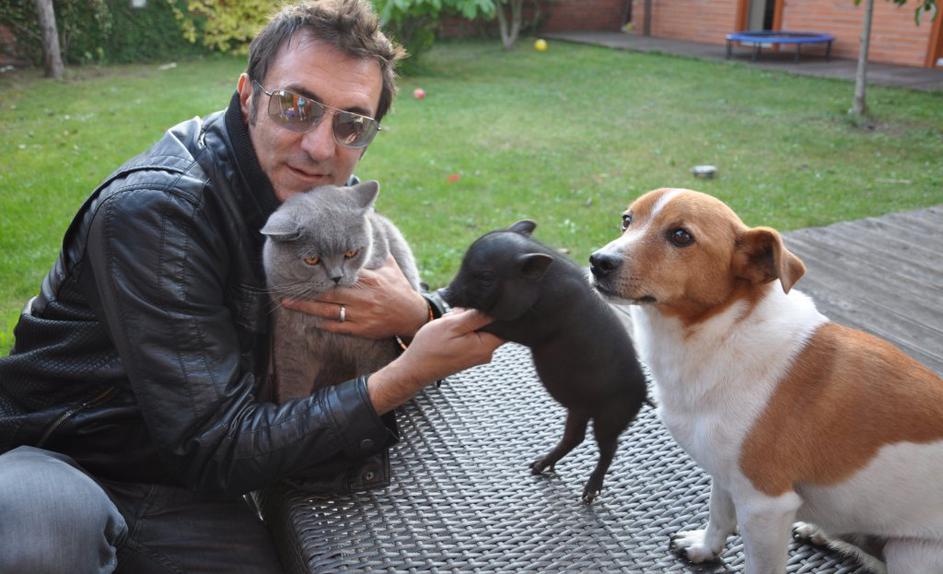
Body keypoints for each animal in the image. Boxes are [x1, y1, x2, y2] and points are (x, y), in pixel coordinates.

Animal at [261, 180, 421, 403]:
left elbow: (371, 375)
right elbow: (292, 389)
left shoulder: (375, 346)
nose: (336, 276)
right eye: (312, 259)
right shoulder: (291, 345)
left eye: (351, 253)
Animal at [443, 220, 648, 503]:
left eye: (485, 277)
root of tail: (643, 393)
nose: (443, 293)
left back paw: (588, 495)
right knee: (574, 437)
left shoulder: (534, 324)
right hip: (579, 408)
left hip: (612, 414)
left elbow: (498, 324)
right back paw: (536, 467)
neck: (540, 287)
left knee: (609, 448)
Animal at [589, 188, 943, 573]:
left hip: (910, 553)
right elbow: (718, 513)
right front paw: (705, 548)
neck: (723, 333)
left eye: (680, 236)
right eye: (627, 220)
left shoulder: (765, 506)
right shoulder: (726, 474)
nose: (597, 261)